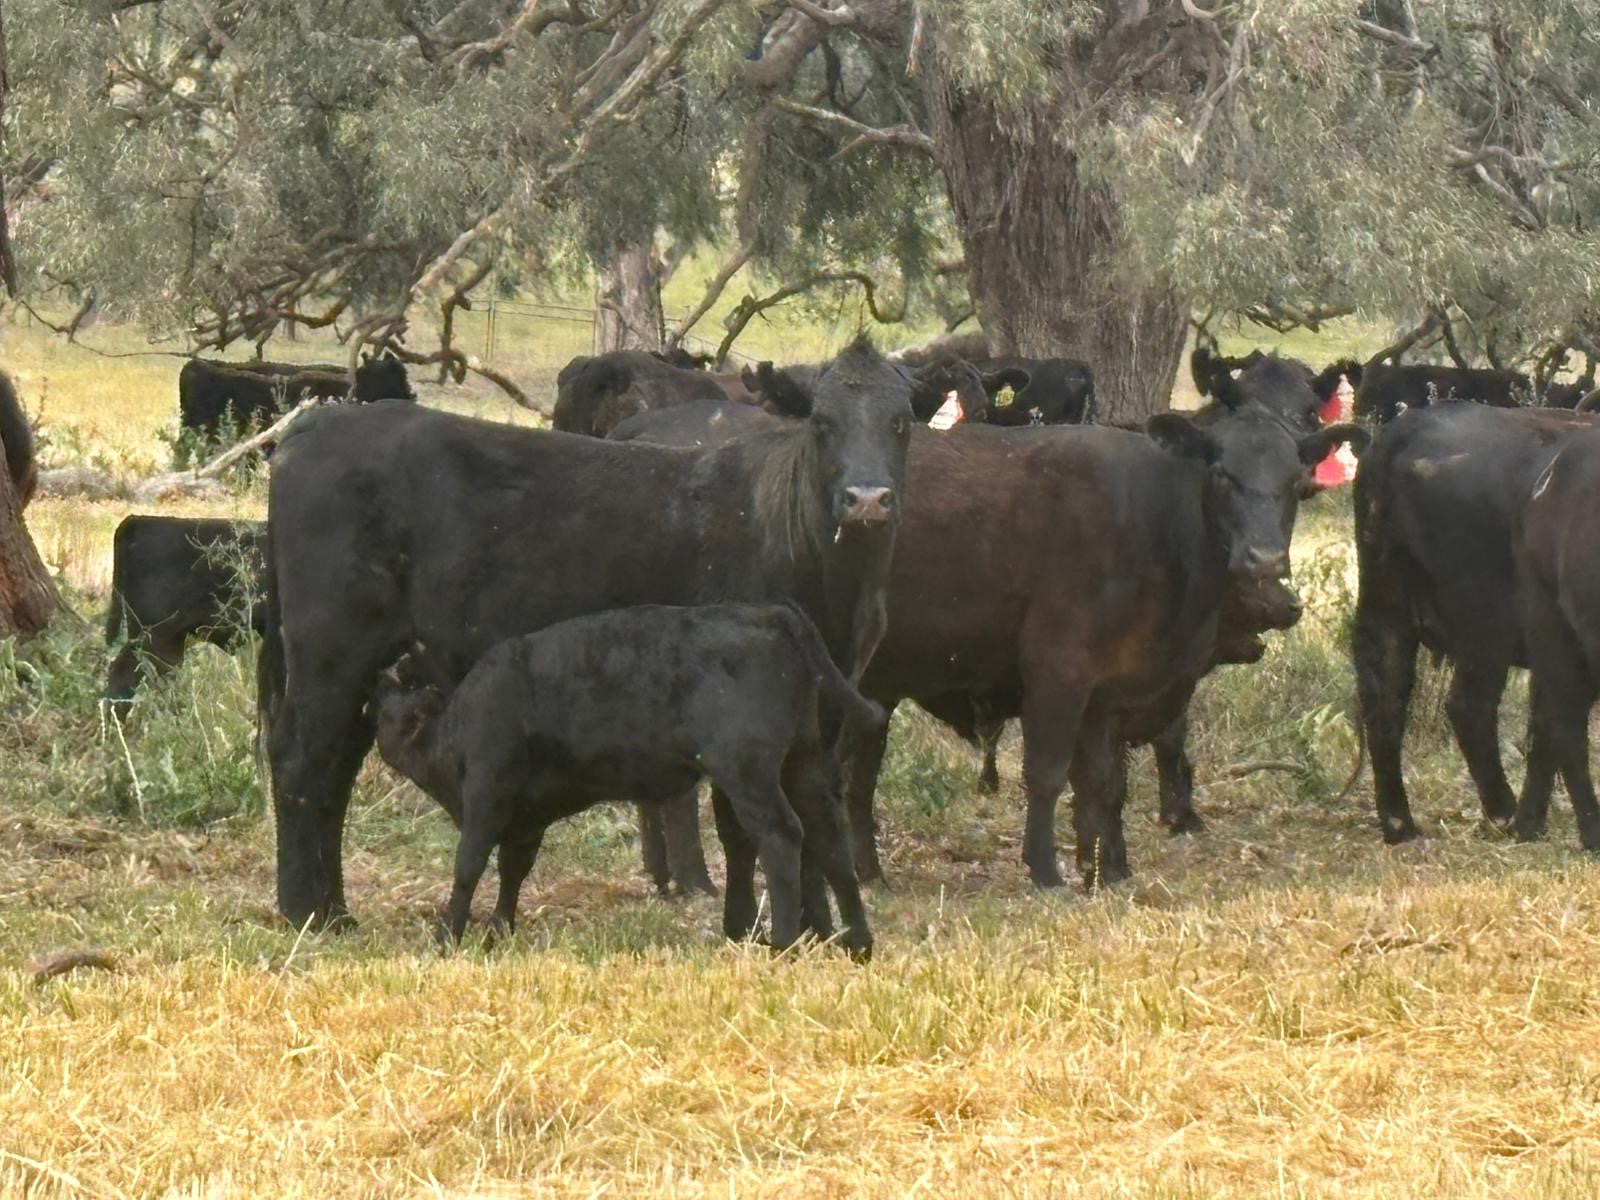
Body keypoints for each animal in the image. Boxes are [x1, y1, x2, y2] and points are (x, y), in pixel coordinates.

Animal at [372, 604, 881, 956]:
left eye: (392, 706)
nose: (383, 674)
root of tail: (772, 612)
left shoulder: (486, 795)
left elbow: (468, 866)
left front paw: (448, 935)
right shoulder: (526, 819)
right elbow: (513, 871)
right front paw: (500, 930)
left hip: (747, 773)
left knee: (781, 836)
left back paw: (782, 945)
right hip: (804, 763)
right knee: (829, 840)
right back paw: (858, 943)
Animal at [1351, 402, 1596, 844]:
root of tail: (1406, 431)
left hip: (1387, 607)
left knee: (1385, 697)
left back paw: (1400, 821)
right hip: (1486, 631)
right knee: (1470, 706)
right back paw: (1504, 808)